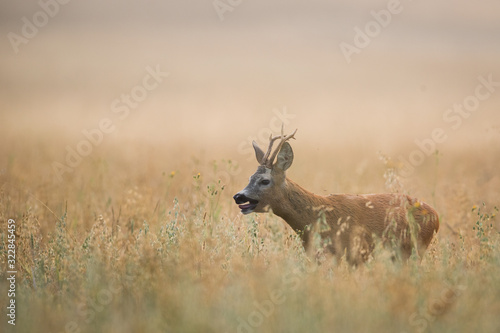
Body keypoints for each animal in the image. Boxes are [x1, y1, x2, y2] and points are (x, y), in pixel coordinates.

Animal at [232, 126, 440, 264]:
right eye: (250, 177)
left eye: (264, 181)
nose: (238, 196)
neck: (315, 217)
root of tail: (436, 216)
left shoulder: (344, 255)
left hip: (415, 249)